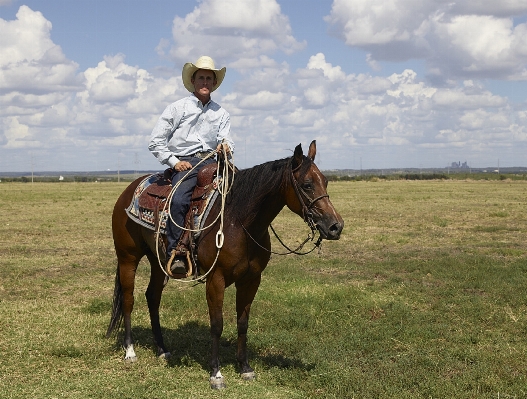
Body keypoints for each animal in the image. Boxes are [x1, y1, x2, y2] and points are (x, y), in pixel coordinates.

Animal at [107, 140, 346, 388]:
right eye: (307, 185)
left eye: (325, 181)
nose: (335, 226)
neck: (239, 221)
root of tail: (130, 189)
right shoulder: (215, 279)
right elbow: (217, 324)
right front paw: (216, 373)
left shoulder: (251, 279)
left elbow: (243, 323)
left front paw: (245, 367)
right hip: (128, 258)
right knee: (128, 299)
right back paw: (130, 351)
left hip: (158, 261)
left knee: (152, 297)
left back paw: (162, 349)